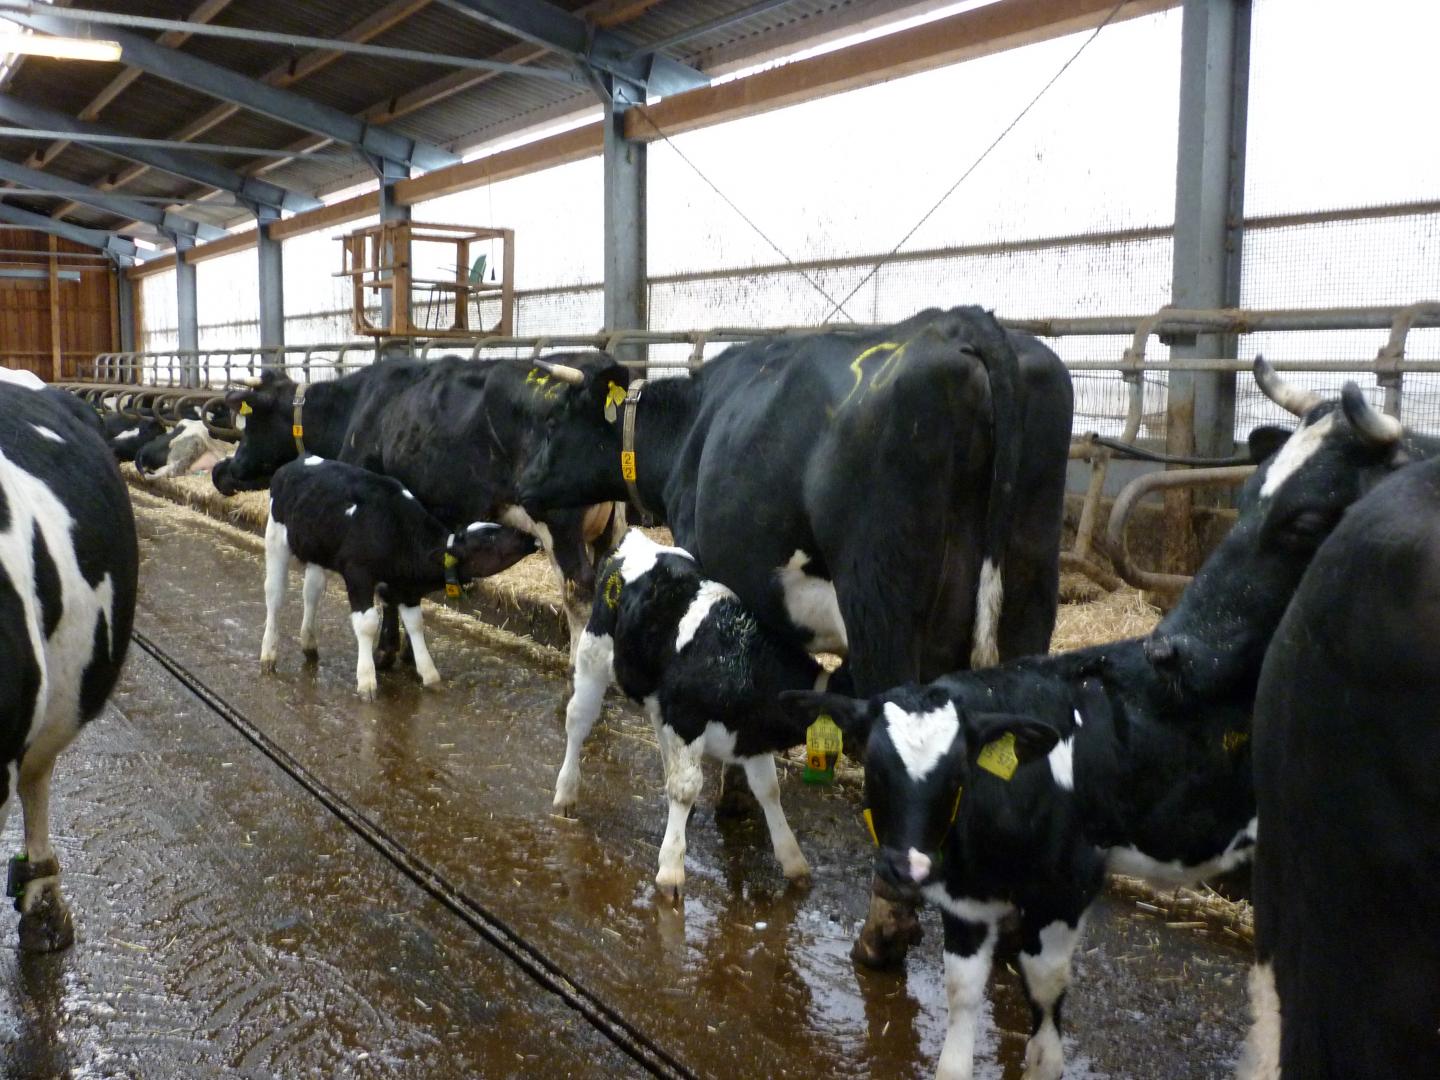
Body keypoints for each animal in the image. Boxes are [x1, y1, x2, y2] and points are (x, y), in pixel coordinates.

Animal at [214, 357, 622, 671]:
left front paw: (385, 654)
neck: (356, 409)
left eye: (248, 424)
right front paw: (408, 655)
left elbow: (386, 593)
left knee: (578, 592)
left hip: (559, 522)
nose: (220, 471)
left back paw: (576, 675)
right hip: (611, 530)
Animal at [261, 456, 538, 699]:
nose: (530, 538)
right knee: (275, 595)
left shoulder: (406, 588)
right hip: (275, 540)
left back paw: (309, 644)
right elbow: (368, 623)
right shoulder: (358, 574)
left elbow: (415, 623)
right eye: (488, 539)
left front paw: (430, 675)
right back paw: (268, 656)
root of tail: (295, 463)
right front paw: (367, 681)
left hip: (317, 551)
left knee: (312, 592)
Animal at [515, 306, 1073, 962]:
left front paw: (726, 801)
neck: (688, 428)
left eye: (554, 421)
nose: (522, 485)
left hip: (882, 603)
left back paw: (884, 928)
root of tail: (968, 324)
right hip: (1031, 591)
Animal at [779, 364, 1414, 1080]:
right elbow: (961, 1003)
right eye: (874, 768)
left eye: (956, 775)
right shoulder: (966, 899)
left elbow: (1046, 1000)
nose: (901, 868)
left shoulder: (1068, 885)